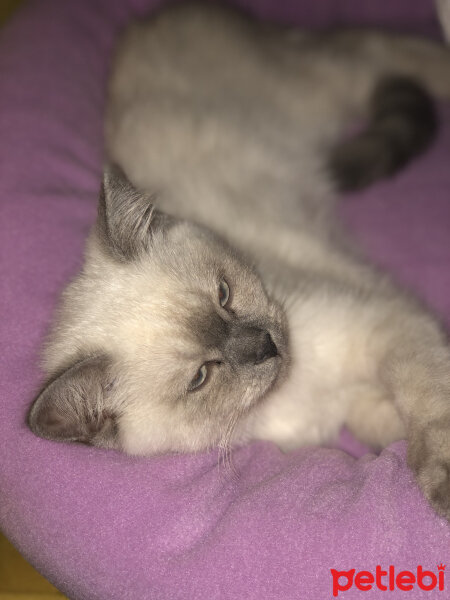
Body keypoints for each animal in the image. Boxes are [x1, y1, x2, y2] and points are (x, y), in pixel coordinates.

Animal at [28, 1, 450, 520]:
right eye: (201, 377)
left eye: (224, 293)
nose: (267, 345)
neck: (291, 396)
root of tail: (147, 21)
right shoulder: (364, 388)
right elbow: (390, 426)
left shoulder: (385, 323)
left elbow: (426, 402)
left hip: (320, 87)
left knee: (383, 51)